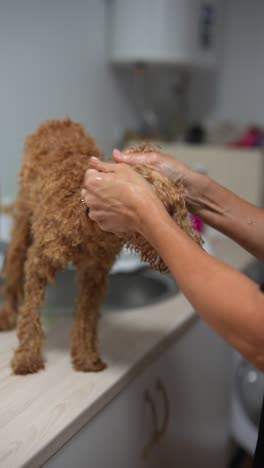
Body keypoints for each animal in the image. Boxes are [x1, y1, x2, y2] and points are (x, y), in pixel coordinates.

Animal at [0, 119, 202, 374]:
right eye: (167, 210)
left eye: (182, 208)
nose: (195, 244)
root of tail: (57, 122)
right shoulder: (38, 263)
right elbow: (31, 312)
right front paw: (26, 356)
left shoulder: (94, 275)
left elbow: (86, 318)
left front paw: (86, 357)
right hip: (22, 221)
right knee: (14, 271)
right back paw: (7, 314)